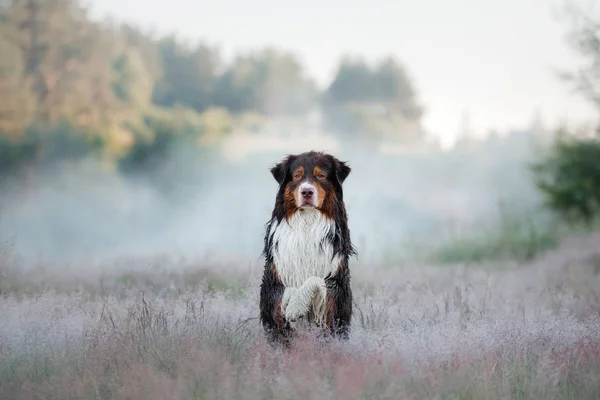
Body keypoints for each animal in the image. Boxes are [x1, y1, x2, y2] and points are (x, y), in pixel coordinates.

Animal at [258, 150, 356, 346]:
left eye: (321, 176)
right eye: (297, 176)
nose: (307, 191)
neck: (307, 222)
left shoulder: (337, 286)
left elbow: (314, 279)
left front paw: (296, 306)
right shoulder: (271, 283)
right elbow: (287, 289)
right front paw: (292, 306)